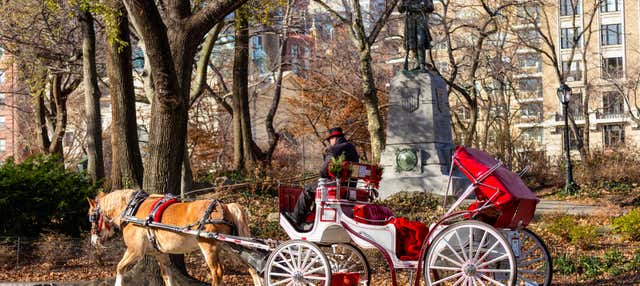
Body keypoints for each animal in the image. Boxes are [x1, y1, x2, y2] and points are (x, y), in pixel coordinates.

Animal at [87, 190, 262, 286]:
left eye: (92, 216)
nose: (93, 241)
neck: (132, 209)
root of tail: (226, 206)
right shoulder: (160, 254)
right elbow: (167, 276)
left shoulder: (135, 251)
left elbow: (119, 268)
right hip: (233, 246)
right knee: (252, 268)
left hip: (209, 247)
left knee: (218, 272)